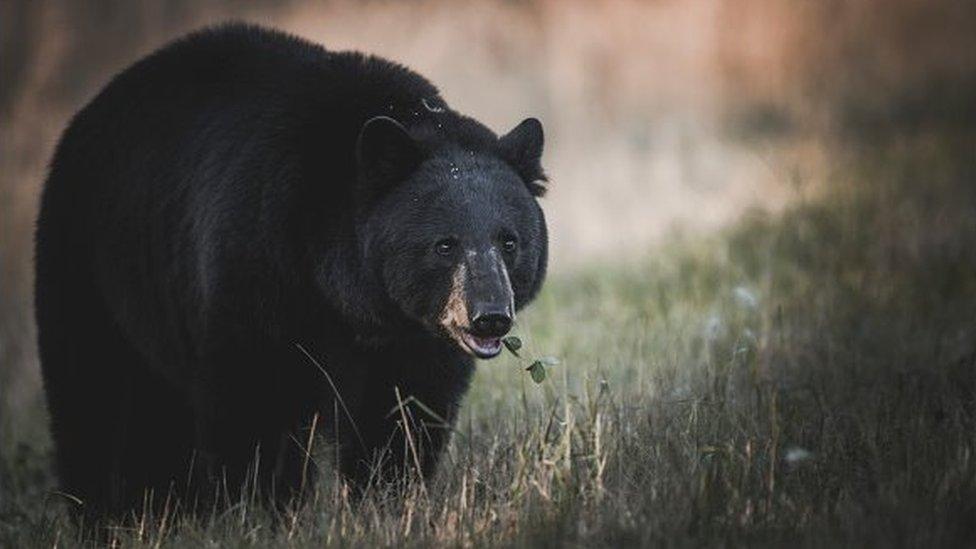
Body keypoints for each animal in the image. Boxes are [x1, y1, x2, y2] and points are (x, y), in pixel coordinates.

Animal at [34, 23, 544, 524]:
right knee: (95, 390)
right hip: (89, 256)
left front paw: (387, 500)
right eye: (444, 245)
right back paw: (104, 512)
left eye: (510, 241)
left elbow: (404, 411)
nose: (490, 317)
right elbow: (253, 397)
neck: (349, 297)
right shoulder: (258, 262)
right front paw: (253, 509)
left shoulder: (413, 336)